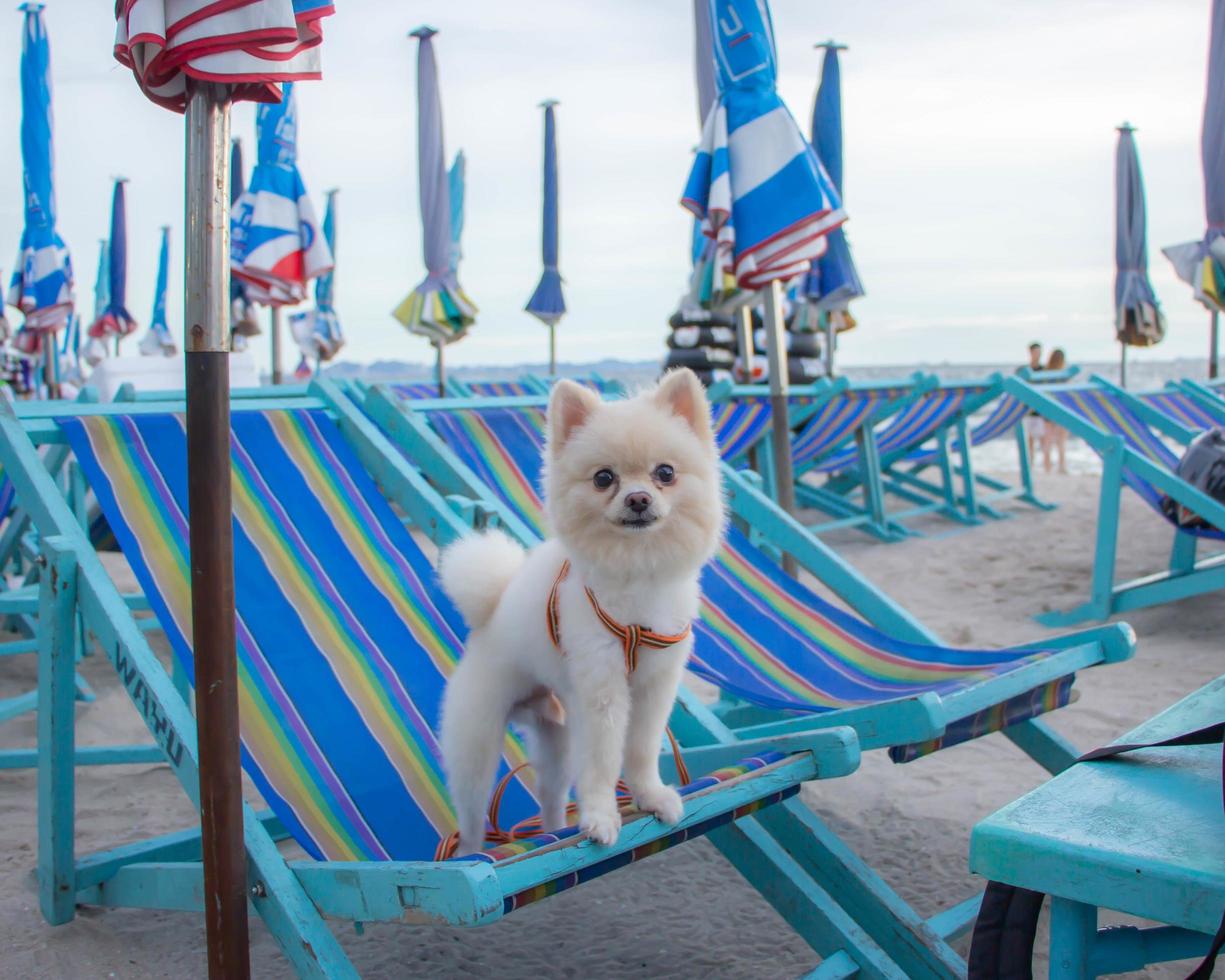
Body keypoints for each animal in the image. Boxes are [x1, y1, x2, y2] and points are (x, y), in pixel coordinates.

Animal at [441, 372, 725, 852]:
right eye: (603, 478)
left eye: (665, 473)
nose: (637, 499)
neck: (637, 572)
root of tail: (490, 610)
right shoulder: (601, 689)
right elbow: (604, 758)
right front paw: (600, 816)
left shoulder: (655, 685)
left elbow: (641, 748)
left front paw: (650, 795)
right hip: (477, 740)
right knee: (472, 815)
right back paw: (476, 852)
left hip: (554, 736)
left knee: (550, 794)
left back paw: (554, 830)